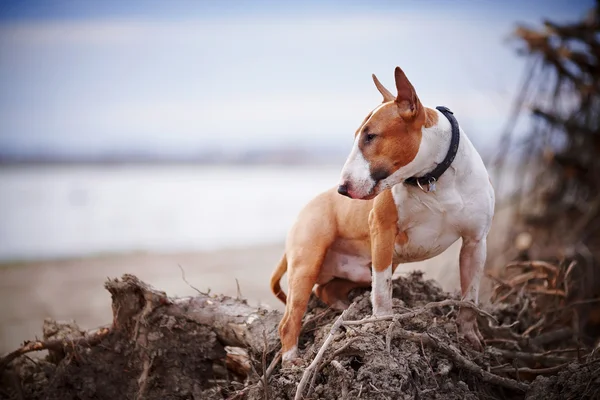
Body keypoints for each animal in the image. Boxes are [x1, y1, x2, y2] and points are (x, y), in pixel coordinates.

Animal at [270, 66, 492, 366]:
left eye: (370, 136)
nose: (342, 189)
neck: (433, 179)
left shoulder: (475, 243)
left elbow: (470, 299)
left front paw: (469, 339)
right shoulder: (383, 230)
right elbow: (383, 288)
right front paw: (382, 323)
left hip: (358, 271)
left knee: (326, 290)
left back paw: (343, 310)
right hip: (308, 262)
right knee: (290, 318)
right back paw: (292, 359)